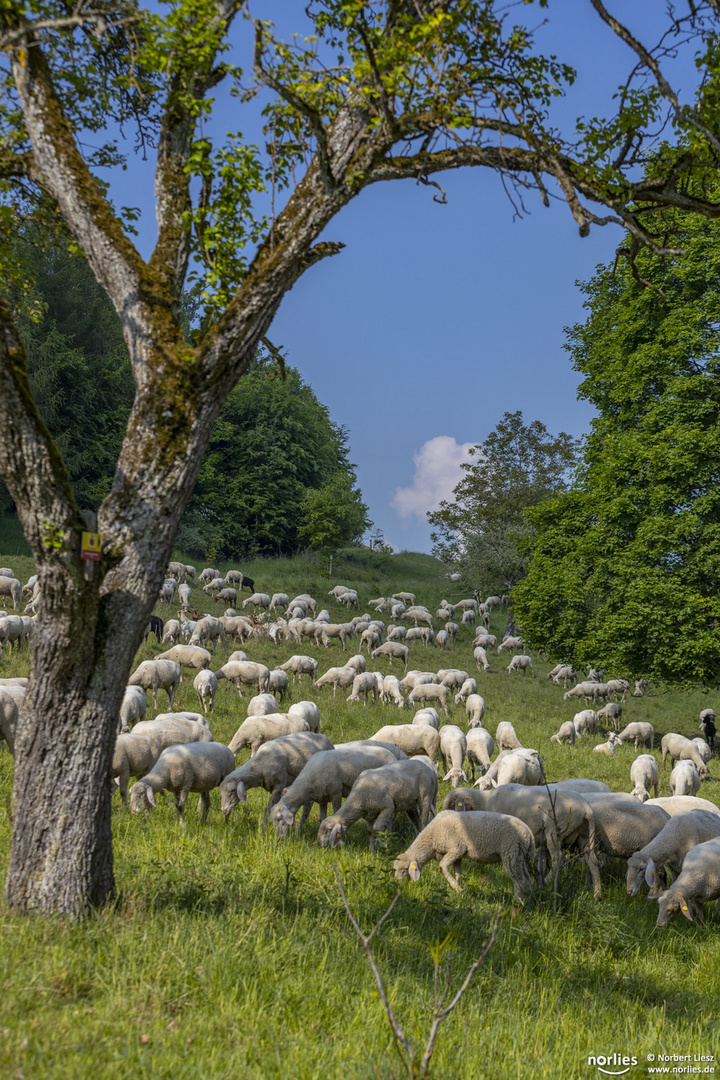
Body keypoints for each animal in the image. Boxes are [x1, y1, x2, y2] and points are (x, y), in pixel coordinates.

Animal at [273, 743, 403, 833]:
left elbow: (335, 812)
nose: (278, 840)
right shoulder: (321, 798)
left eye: (280, 819)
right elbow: (318, 817)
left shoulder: (336, 792)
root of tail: (391, 754)